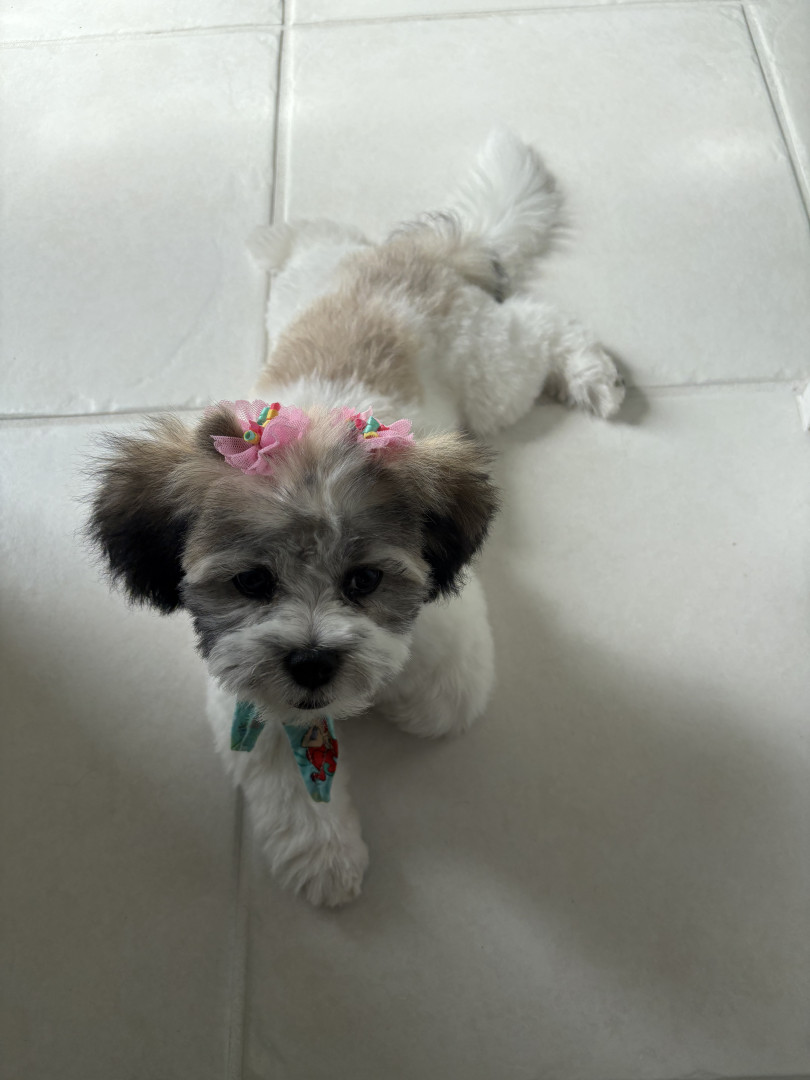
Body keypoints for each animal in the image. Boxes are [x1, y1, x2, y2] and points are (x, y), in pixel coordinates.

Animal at [88, 130, 624, 907]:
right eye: (252, 583)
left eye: (364, 580)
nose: (312, 660)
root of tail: (408, 258)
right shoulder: (244, 701)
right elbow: (289, 783)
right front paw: (324, 856)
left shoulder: (449, 635)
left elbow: (439, 700)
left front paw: (384, 699)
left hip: (491, 376)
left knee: (541, 326)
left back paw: (591, 371)